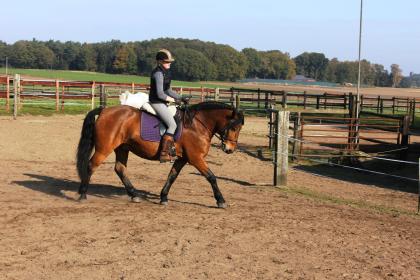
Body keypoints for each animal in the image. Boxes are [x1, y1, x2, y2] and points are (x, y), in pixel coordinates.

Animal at [77, 101, 244, 208]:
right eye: (234, 127)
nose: (230, 149)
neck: (197, 124)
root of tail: (104, 110)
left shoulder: (182, 158)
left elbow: (172, 176)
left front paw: (163, 197)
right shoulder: (195, 158)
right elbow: (211, 177)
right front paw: (221, 200)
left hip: (122, 148)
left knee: (120, 169)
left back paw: (134, 194)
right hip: (104, 148)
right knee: (91, 166)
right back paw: (83, 195)